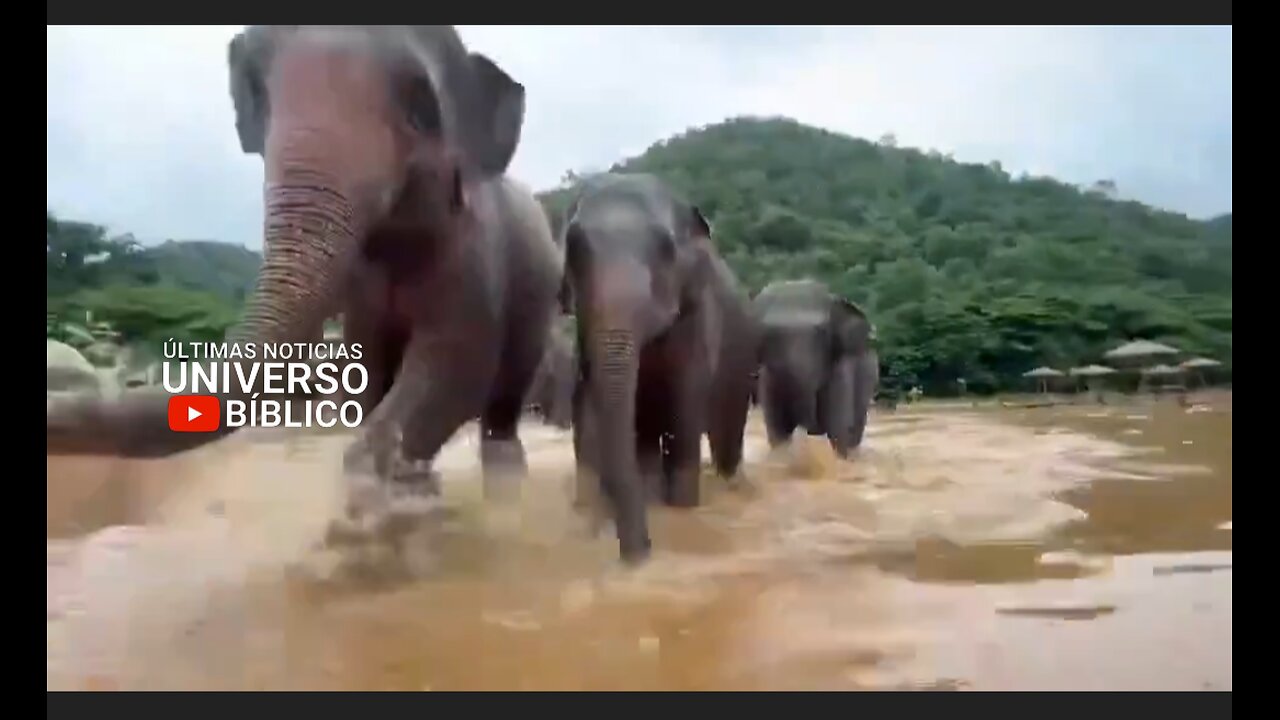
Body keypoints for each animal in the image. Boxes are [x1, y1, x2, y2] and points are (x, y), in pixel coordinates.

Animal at [43, 29, 560, 509]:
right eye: (261, 98)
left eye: (419, 113)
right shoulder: (362, 291)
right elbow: (368, 365)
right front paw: (392, 493)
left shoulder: (477, 256)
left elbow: (458, 366)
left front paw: (377, 500)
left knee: (504, 398)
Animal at [560, 170, 757, 563]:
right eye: (573, 247)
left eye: (666, 248)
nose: (641, 553)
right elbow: (586, 405)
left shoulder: (697, 318)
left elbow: (685, 403)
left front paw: (682, 509)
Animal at [752, 278, 875, 456]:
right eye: (767, 334)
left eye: (821, 331)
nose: (809, 430)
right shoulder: (768, 375)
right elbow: (777, 430)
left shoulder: (841, 366)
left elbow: (839, 428)